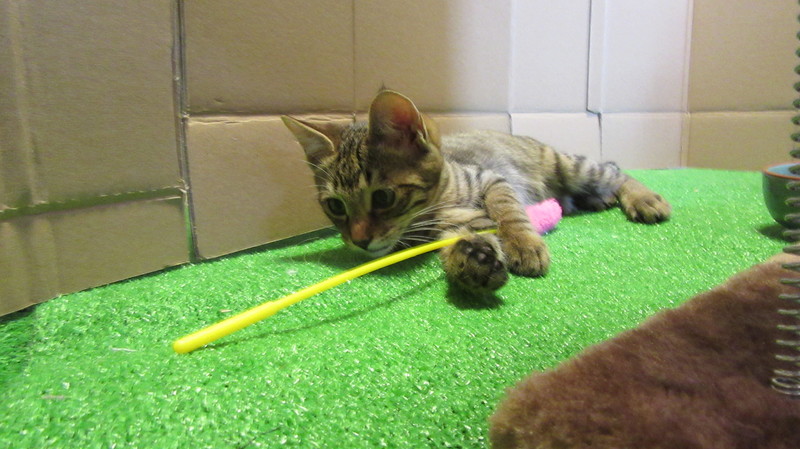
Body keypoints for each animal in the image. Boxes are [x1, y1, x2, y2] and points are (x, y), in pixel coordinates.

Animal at [282, 90, 670, 294]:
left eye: (383, 198)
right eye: (335, 206)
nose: (359, 241)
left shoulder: (494, 180)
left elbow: (508, 211)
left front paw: (523, 244)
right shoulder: (462, 224)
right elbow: (465, 240)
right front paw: (471, 259)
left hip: (569, 166)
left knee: (616, 171)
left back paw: (644, 198)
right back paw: (598, 199)